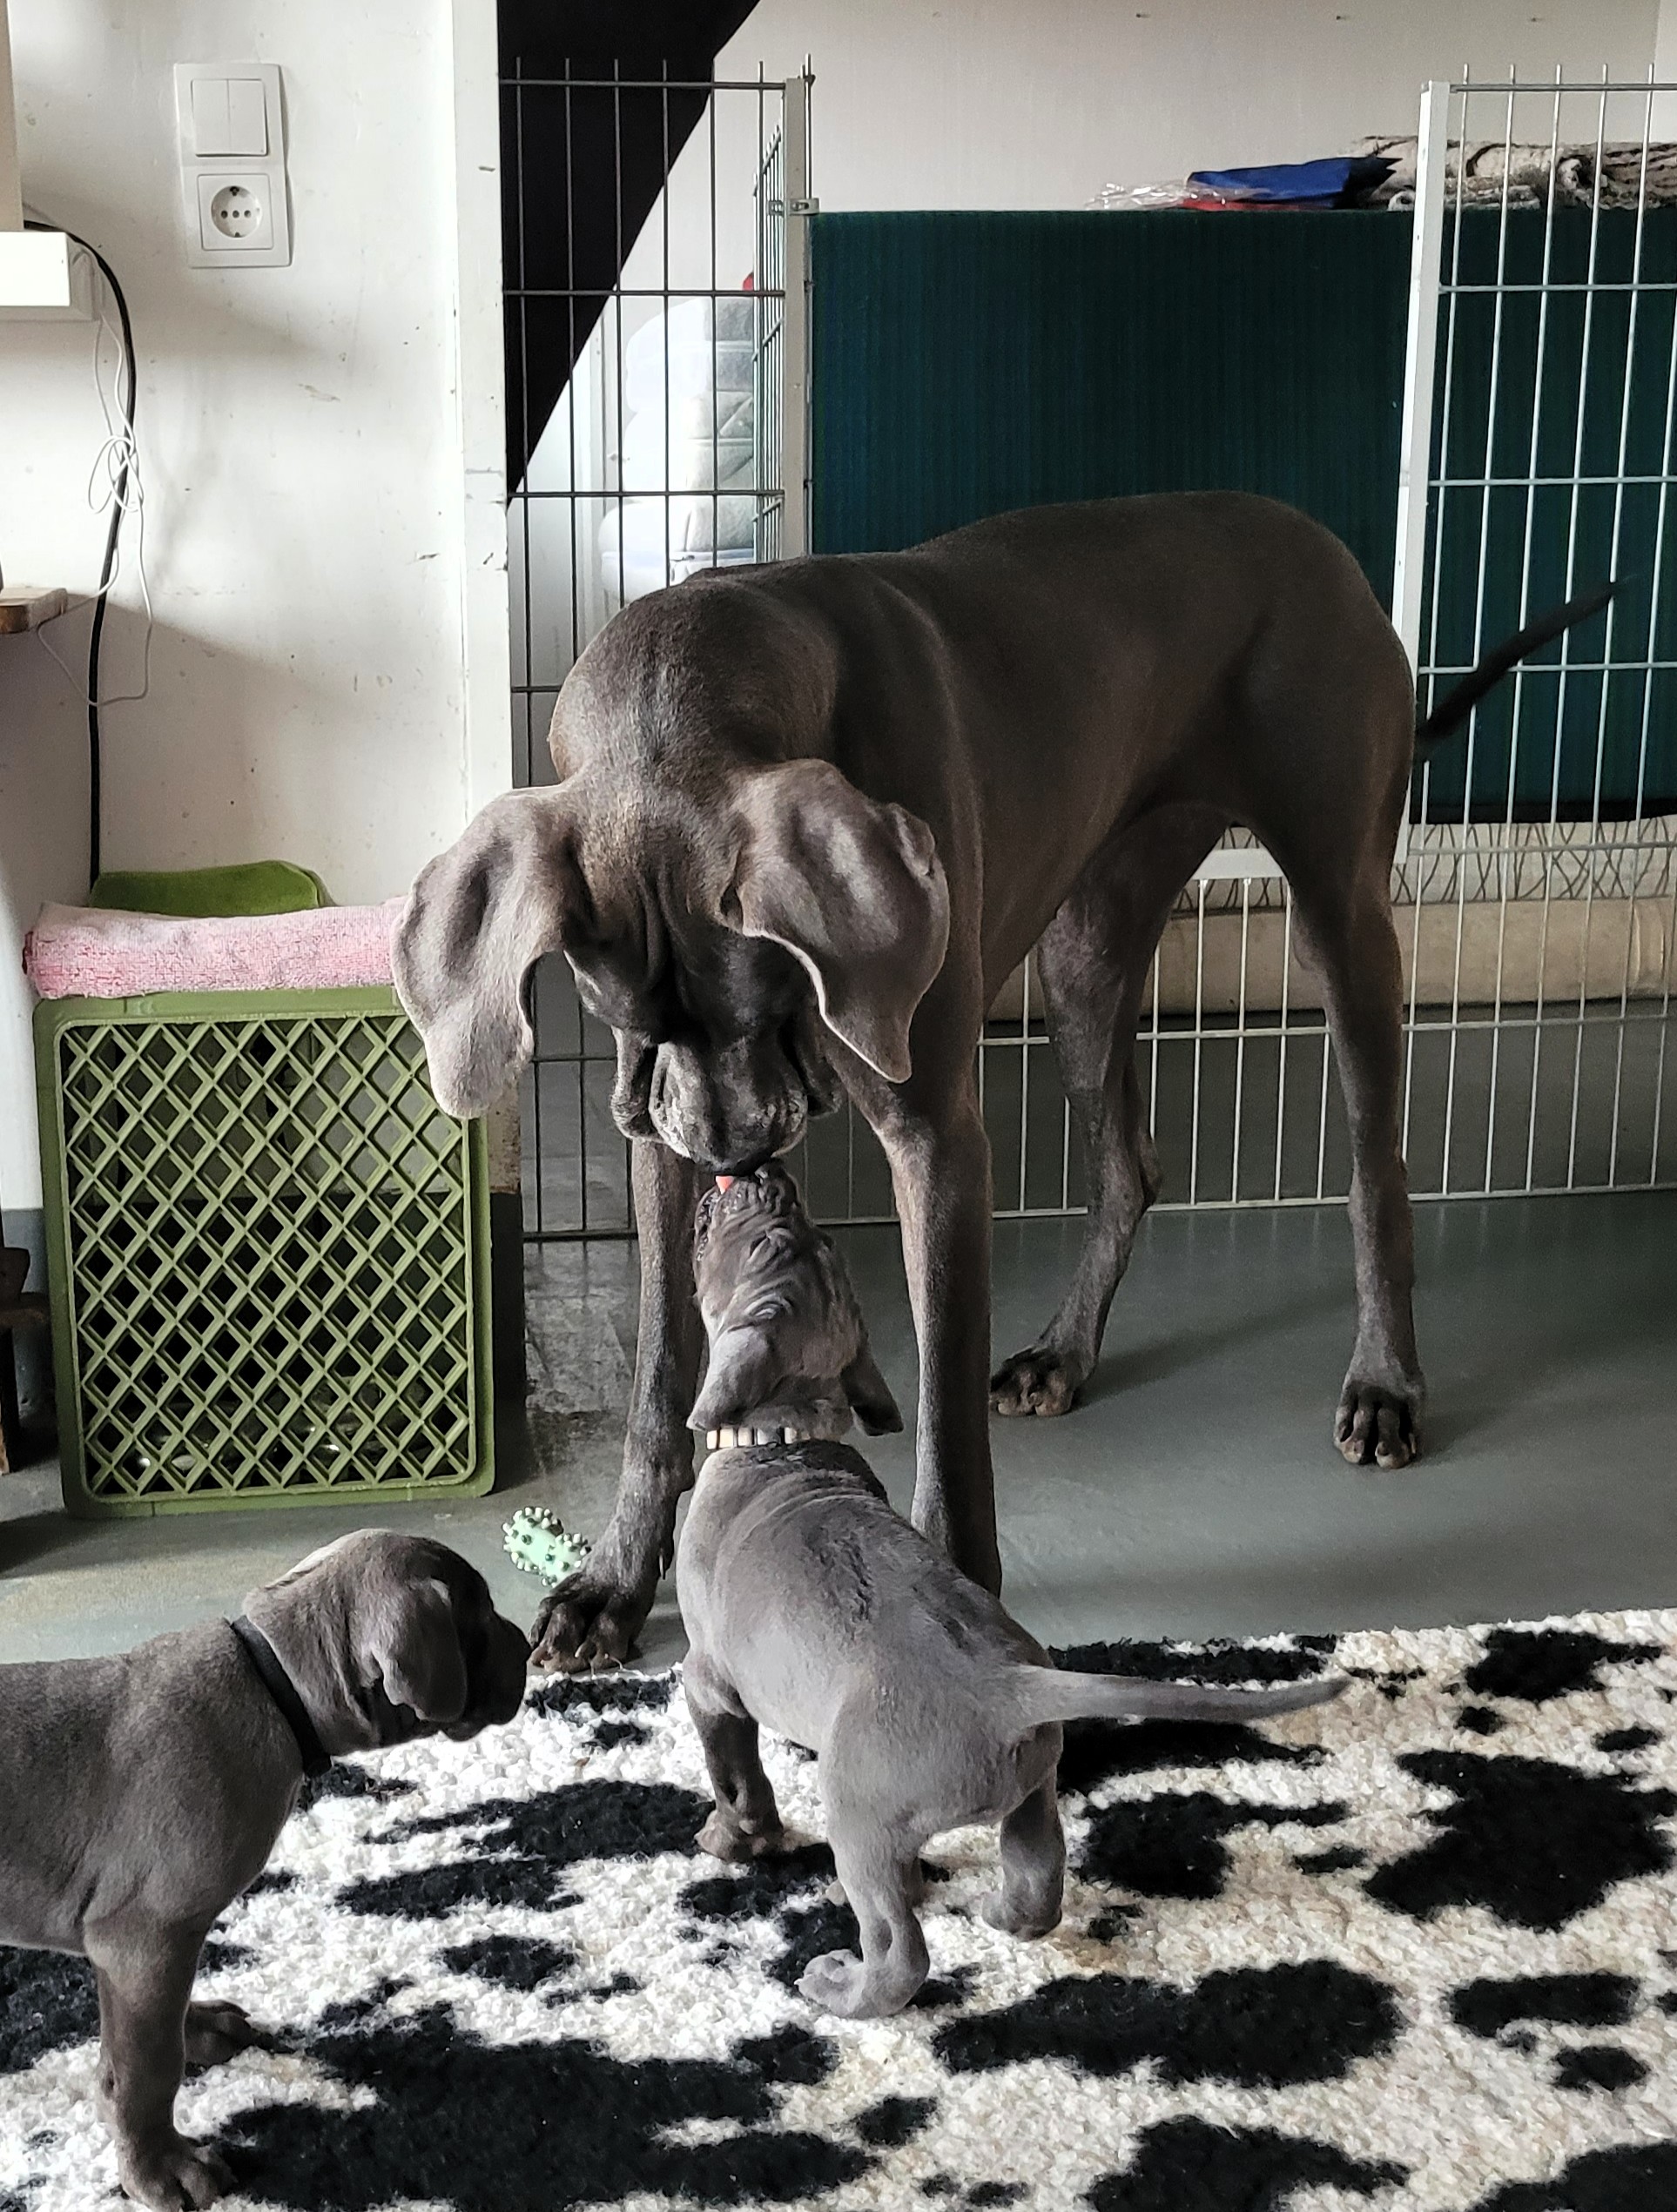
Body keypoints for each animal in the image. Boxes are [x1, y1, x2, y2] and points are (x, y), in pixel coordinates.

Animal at [0, 1531, 529, 2210]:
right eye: (480, 1618)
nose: (530, 1645)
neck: (273, 1686)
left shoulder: (153, 1949)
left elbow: (163, 2024)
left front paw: (199, 2028)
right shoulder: (143, 1936)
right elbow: (147, 2066)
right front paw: (160, 2168)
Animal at [392, 492, 1610, 1670]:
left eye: (769, 996)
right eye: (625, 1029)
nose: (735, 1155)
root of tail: (1325, 548)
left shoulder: (936, 1138)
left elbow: (941, 1406)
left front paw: (954, 1595)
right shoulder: (657, 1142)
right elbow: (654, 1381)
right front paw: (612, 1581)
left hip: (1340, 912)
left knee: (1376, 1168)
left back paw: (1385, 1386)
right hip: (1088, 943)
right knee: (1128, 1165)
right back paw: (1065, 1353)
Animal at [677, 1162, 1345, 2018]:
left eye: (766, 1241)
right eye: (810, 1236)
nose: (763, 1173)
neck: (784, 1438)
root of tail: (1007, 1687)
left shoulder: (708, 1680)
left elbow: (735, 1776)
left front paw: (730, 1841)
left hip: (857, 1813)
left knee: (898, 1944)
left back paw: (842, 1985)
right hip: (1032, 1789)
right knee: (1037, 1878)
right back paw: (997, 1910)